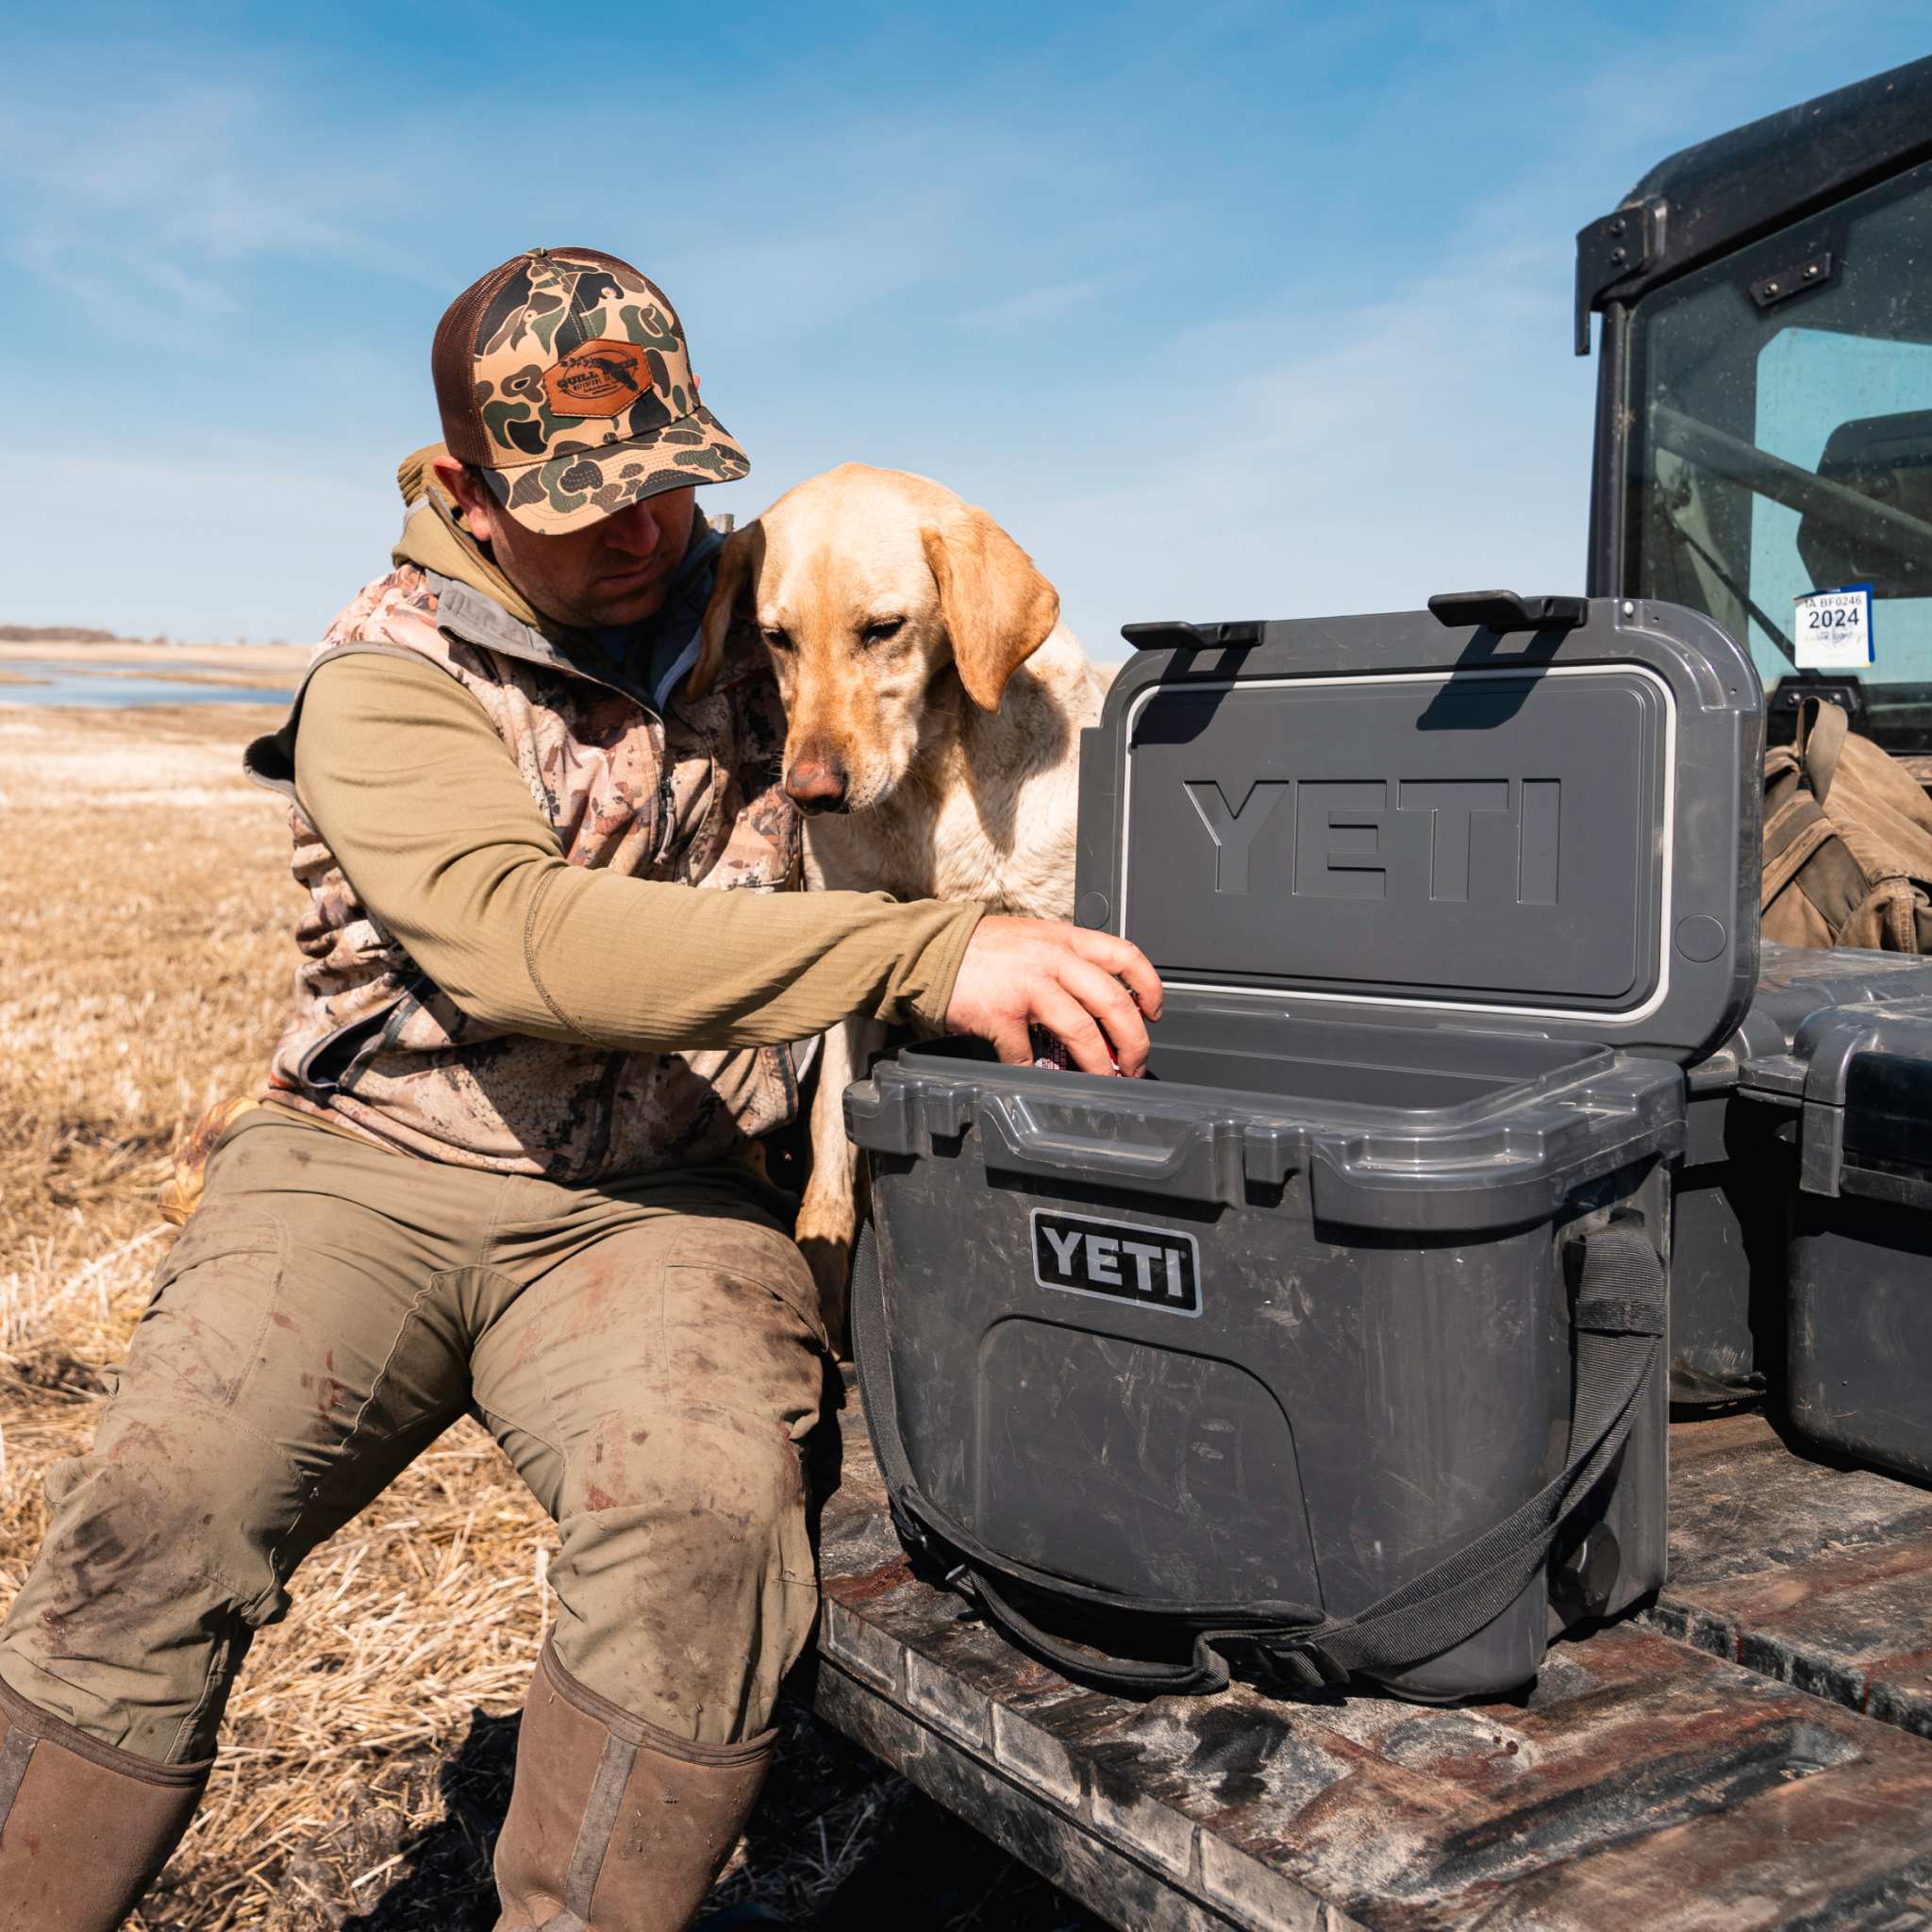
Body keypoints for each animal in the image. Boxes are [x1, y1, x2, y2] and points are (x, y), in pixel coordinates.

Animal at [695, 467, 1112, 1329]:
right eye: (776, 637)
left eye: (883, 629)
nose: (810, 794)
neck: (932, 784)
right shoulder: (850, 971)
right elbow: (830, 1152)